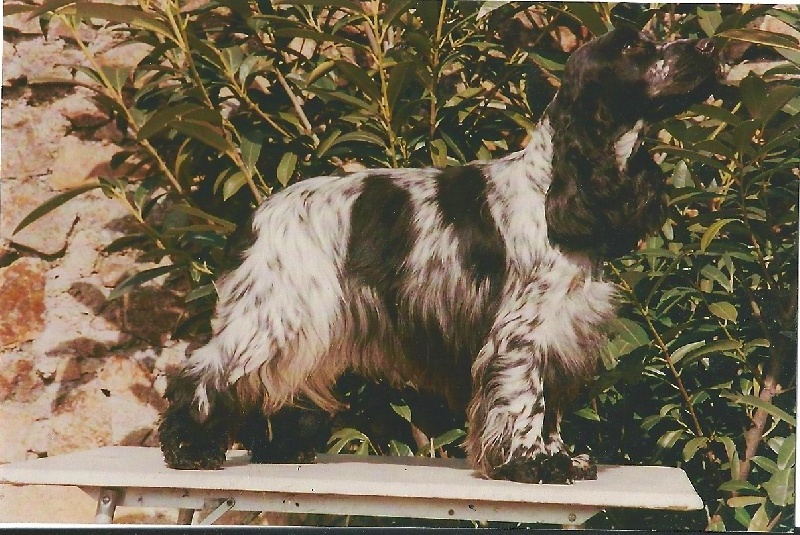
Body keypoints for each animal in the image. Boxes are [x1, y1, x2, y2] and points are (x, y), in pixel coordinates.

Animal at [158, 25, 720, 486]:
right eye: (634, 48)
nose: (709, 46)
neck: (553, 186)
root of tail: (256, 215)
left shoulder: (563, 328)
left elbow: (552, 406)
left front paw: (566, 459)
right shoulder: (522, 333)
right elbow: (526, 399)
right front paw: (532, 464)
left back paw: (279, 449)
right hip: (277, 313)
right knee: (204, 371)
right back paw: (189, 450)